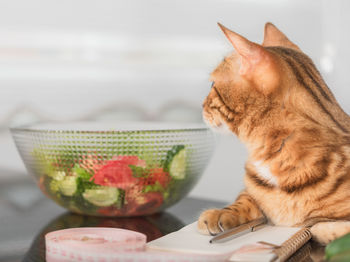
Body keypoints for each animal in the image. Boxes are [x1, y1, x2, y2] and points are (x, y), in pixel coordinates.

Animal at [198, 23, 350, 246]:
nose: (201, 106)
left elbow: (326, 228)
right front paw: (221, 213)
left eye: (211, 85)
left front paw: (320, 227)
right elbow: (246, 196)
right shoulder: (253, 188)